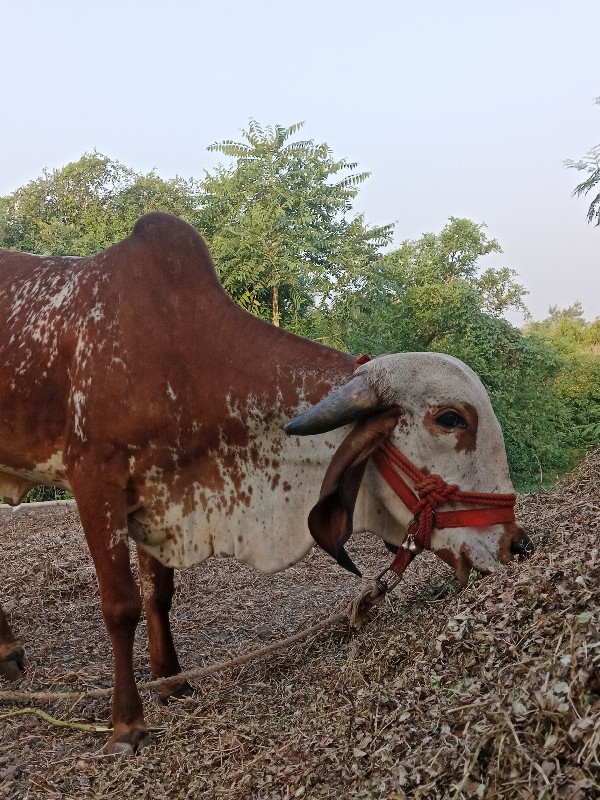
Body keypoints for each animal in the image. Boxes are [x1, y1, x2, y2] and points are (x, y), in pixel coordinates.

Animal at [0, 211, 532, 752]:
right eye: (451, 419)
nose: (517, 545)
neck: (178, 357)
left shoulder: (160, 498)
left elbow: (159, 594)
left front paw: (171, 683)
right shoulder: (95, 481)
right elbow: (120, 605)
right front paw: (127, 723)